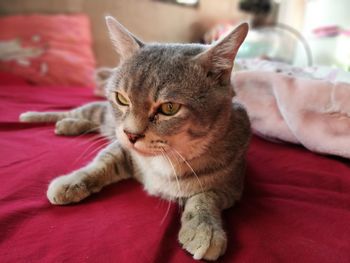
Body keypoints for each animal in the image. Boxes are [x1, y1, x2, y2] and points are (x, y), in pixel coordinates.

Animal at [19, 17, 250, 262]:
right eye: (122, 98)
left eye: (169, 108)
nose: (131, 134)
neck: (165, 161)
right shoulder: (120, 148)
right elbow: (99, 164)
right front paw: (71, 182)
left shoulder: (232, 186)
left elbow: (206, 197)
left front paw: (204, 227)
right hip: (100, 115)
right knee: (80, 112)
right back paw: (40, 117)